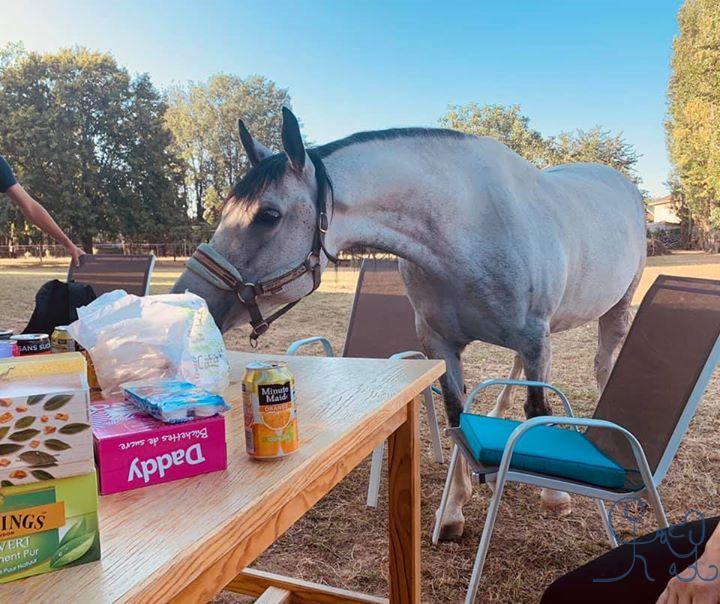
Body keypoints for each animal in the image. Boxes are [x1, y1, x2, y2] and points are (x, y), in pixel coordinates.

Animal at [173, 106, 648, 540]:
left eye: (268, 215)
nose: (191, 301)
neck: (469, 227)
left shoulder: (535, 338)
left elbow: (538, 409)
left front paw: (553, 494)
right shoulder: (441, 344)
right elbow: (458, 418)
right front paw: (453, 510)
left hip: (614, 310)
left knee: (602, 366)